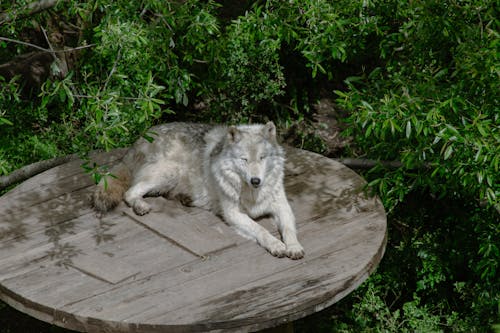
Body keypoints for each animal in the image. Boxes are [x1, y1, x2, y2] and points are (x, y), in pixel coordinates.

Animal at [93, 120, 304, 258]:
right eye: (244, 159)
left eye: (262, 158)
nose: (255, 181)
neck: (252, 194)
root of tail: (139, 139)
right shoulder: (233, 214)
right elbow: (261, 229)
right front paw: (276, 244)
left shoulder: (283, 207)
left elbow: (288, 228)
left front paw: (293, 247)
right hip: (169, 172)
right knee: (130, 192)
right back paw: (141, 206)